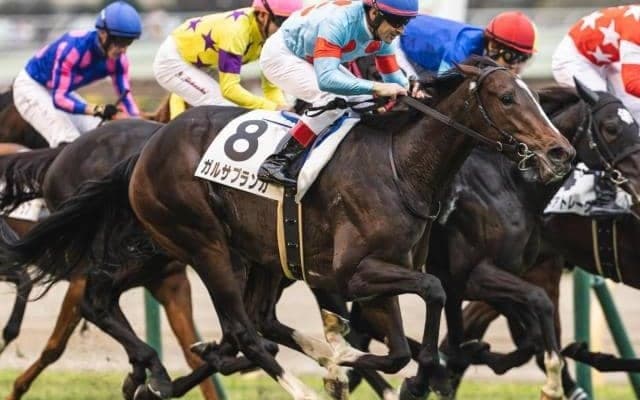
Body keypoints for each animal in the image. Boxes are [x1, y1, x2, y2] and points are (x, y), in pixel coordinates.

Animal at [0, 59, 575, 399]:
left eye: (534, 96)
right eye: (507, 98)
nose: (559, 154)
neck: (402, 167)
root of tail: (146, 148)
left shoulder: (382, 274)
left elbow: (400, 346)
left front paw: (362, 365)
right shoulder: (354, 274)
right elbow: (429, 298)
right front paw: (369, 368)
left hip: (216, 252)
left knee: (115, 300)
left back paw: (154, 372)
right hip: (202, 244)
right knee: (243, 330)